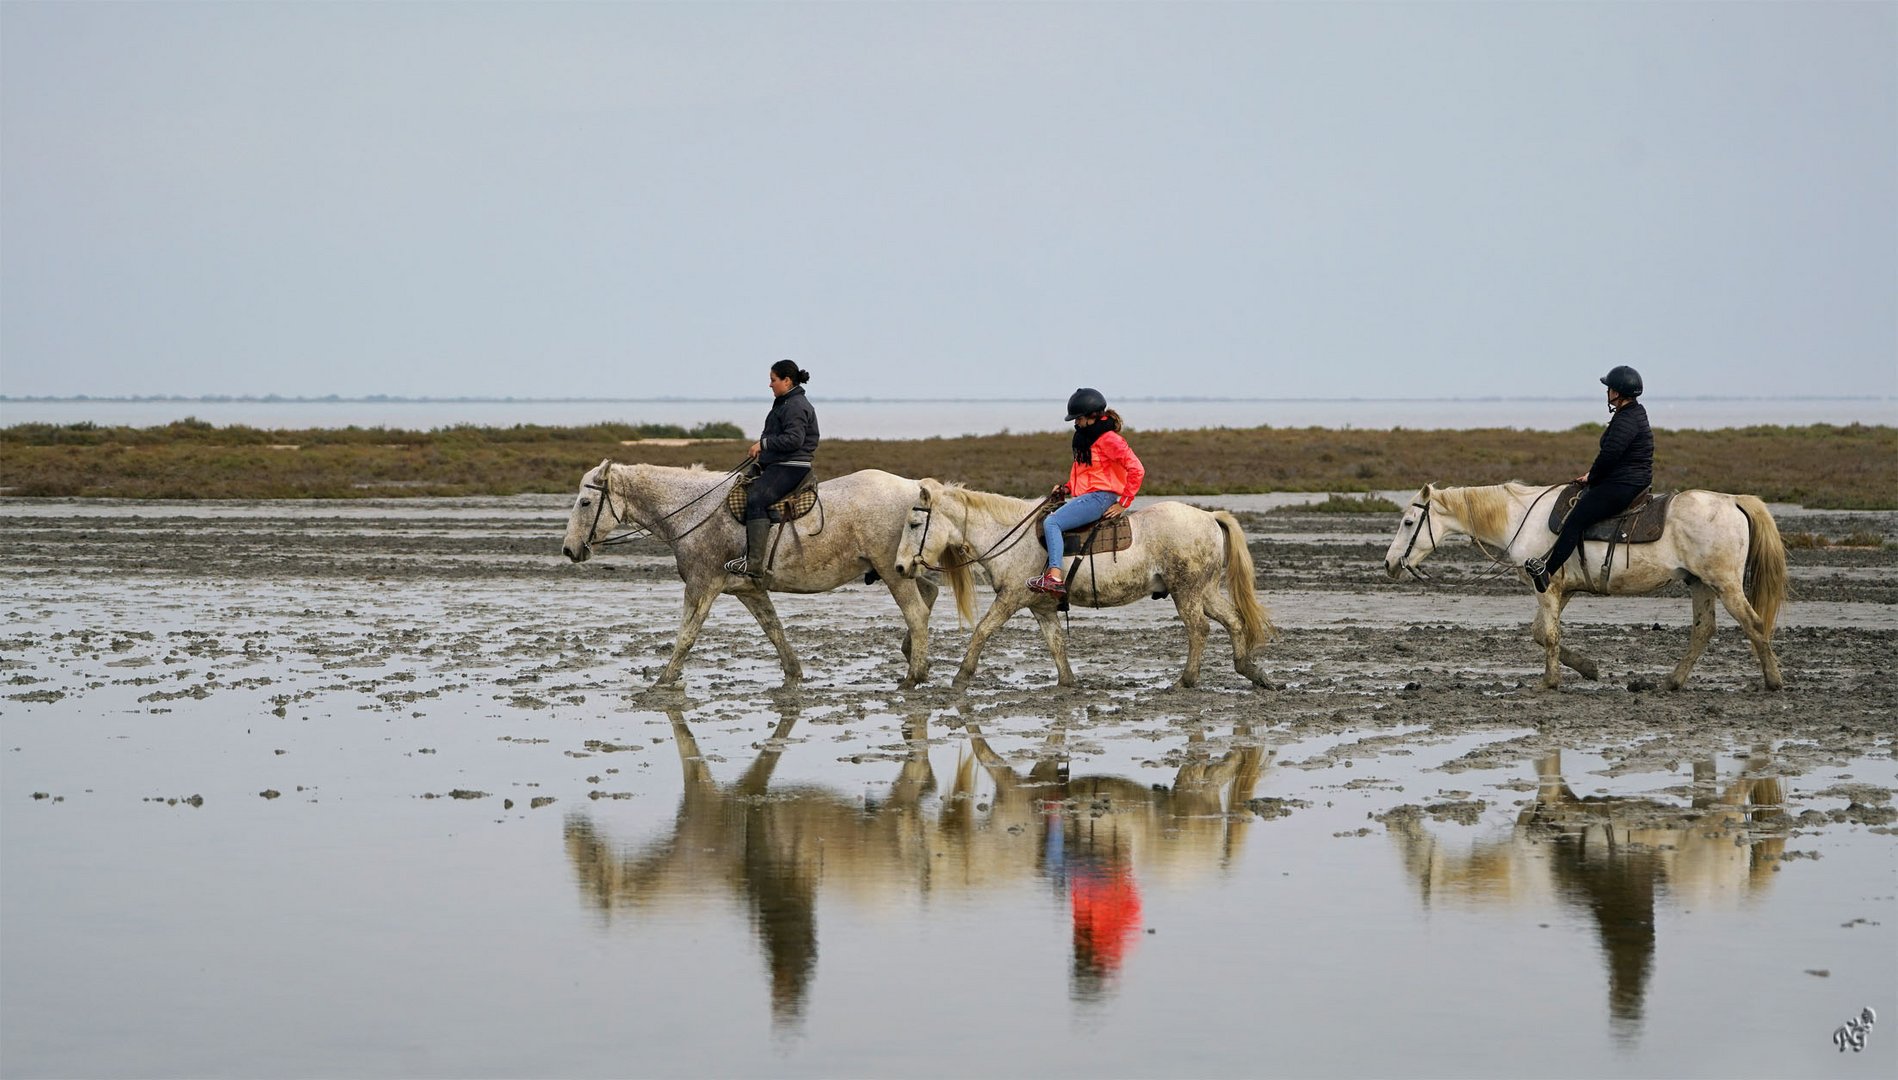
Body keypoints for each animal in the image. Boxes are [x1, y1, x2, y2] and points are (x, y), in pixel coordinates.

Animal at [565, 459, 945, 687]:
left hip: (892, 573)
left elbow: (686, 635)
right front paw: (794, 675)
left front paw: (663, 681)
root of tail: (913, 487)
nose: (569, 549)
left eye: (585, 502)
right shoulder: (749, 590)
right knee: (930, 594)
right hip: (901, 570)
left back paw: (914, 675)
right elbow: (773, 630)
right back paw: (914, 657)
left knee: (916, 612)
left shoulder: (702, 586)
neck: (695, 512)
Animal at [888, 478, 1275, 687]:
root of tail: (1209, 516)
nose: (900, 566)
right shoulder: (1042, 607)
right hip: (1204, 590)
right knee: (1233, 620)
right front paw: (1067, 681)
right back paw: (1251, 672)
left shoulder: (1010, 598)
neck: (1009, 533)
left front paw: (961, 677)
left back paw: (1186, 680)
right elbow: (1056, 643)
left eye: (914, 524)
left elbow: (982, 630)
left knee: (1199, 629)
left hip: (1186, 592)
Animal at [1389, 482, 1784, 690]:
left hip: (1725, 584)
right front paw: (1588, 668)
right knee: (1703, 631)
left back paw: (1773, 681)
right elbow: (1541, 633)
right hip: (1700, 584)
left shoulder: (1546, 588)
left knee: (1754, 624)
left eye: (1409, 522)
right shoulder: (1561, 589)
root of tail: (1733, 501)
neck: (1520, 519)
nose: (1389, 564)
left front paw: (1549, 682)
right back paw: (1672, 681)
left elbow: (1548, 635)